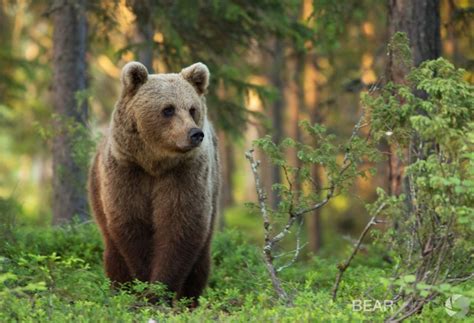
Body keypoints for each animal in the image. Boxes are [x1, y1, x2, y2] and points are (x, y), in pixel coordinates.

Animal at [87, 61, 220, 306]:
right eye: (168, 109)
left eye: (192, 109)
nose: (195, 134)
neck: (154, 164)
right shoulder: (127, 172)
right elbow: (132, 224)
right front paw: (144, 284)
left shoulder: (184, 174)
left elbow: (179, 226)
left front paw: (159, 291)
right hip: (96, 191)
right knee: (113, 252)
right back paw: (120, 289)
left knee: (201, 258)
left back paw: (190, 300)